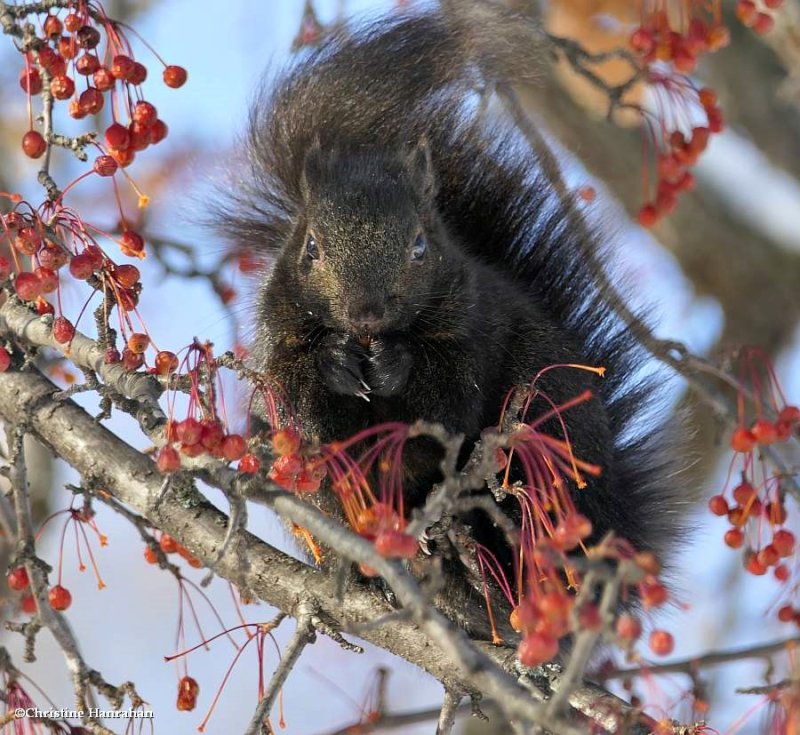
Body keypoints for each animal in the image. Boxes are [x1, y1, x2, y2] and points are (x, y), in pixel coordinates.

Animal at [222, 5, 684, 636]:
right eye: (310, 246)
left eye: (421, 245)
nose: (366, 312)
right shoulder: (278, 334)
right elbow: (301, 404)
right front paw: (336, 363)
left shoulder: (473, 330)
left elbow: (447, 399)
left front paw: (396, 364)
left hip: (552, 430)